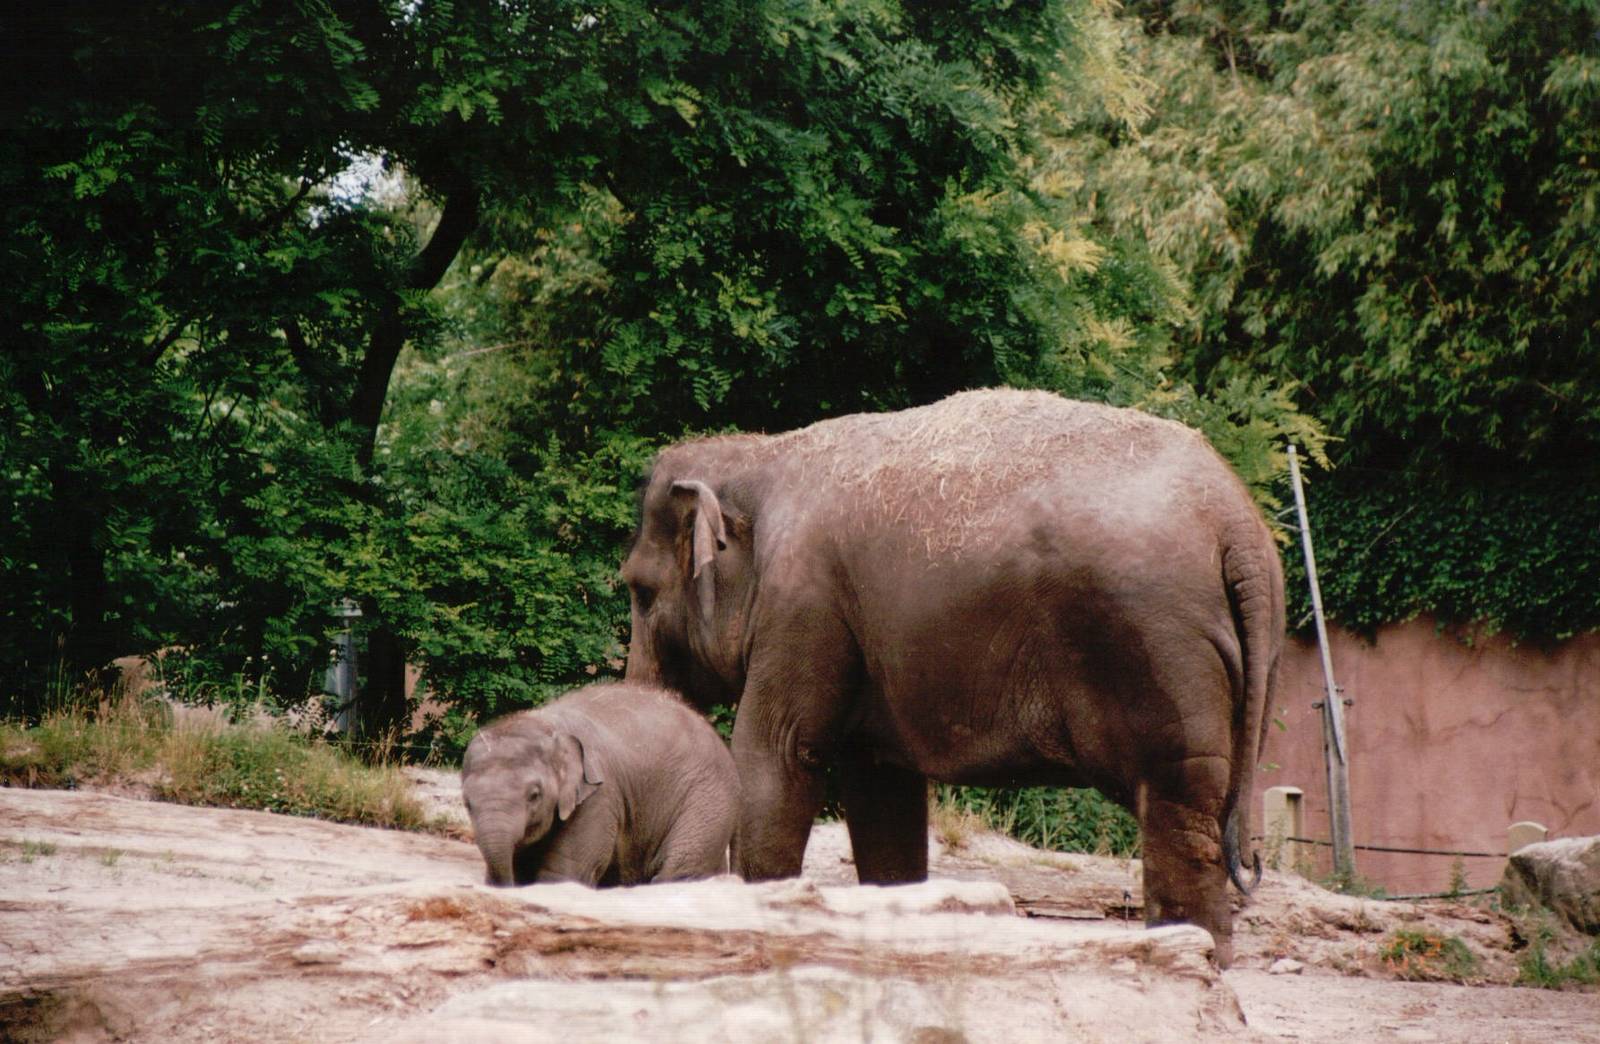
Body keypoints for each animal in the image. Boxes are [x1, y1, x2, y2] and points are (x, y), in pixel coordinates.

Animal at [460, 682, 739, 887]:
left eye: (534, 795)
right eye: (467, 803)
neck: (545, 724)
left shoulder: (600, 796)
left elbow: (564, 874)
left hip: (707, 801)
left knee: (679, 870)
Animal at [620, 388, 1284, 966]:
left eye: (640, 591)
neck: (761, 453)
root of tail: (1237, 525)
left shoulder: (802, 606)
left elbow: (776, 757)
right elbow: (881, 790)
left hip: (1157, 644)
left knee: (1178, 798)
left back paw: (1198, 956)